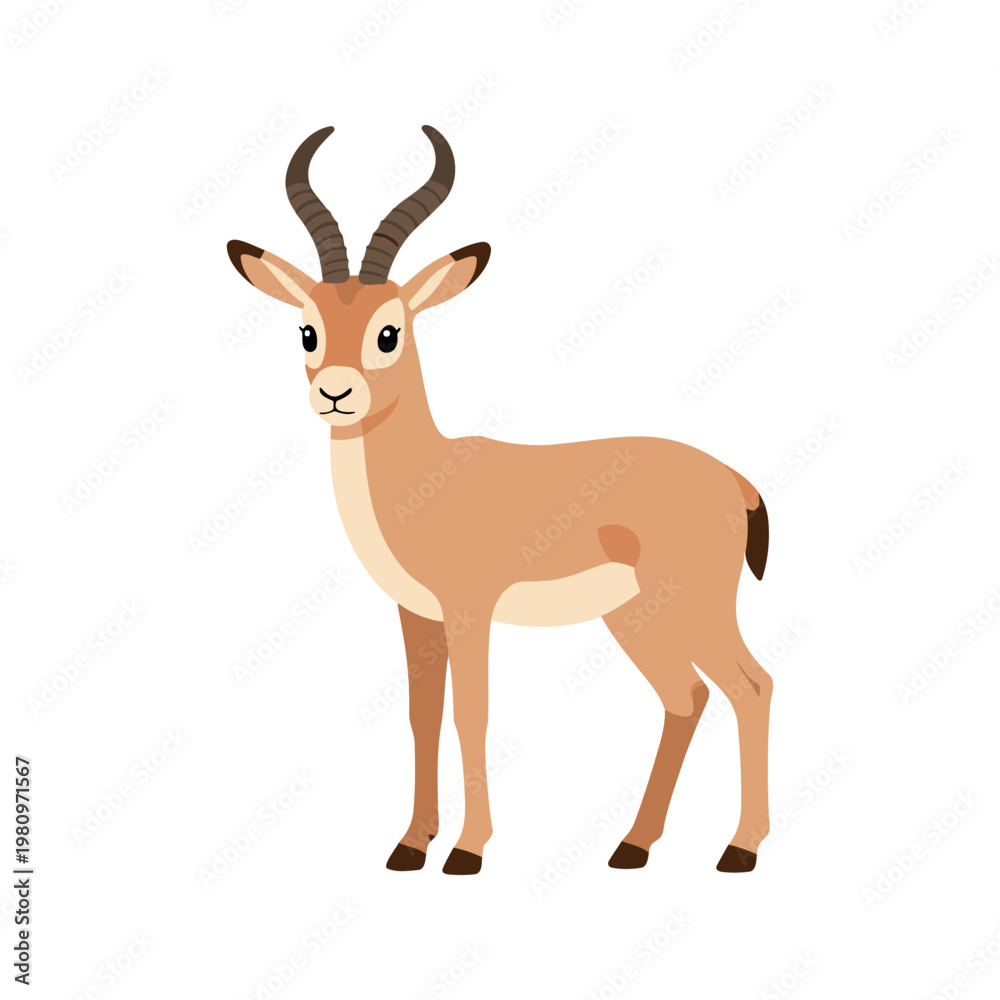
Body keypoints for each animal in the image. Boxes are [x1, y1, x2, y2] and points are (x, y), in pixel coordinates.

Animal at [227, 126, 773, 876]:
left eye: (389, 330)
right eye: (308, 330)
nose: (336, 392)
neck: (424, 478)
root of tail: (737, 481)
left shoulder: (470, 609)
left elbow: (472, 713)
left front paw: (467, 850)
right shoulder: (417, 613)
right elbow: (422, 715)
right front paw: (409, 844)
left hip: (694, 606)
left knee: (751, 686)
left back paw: (738, 850)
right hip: (636, 616)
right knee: (685, 698)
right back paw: (632, 846)